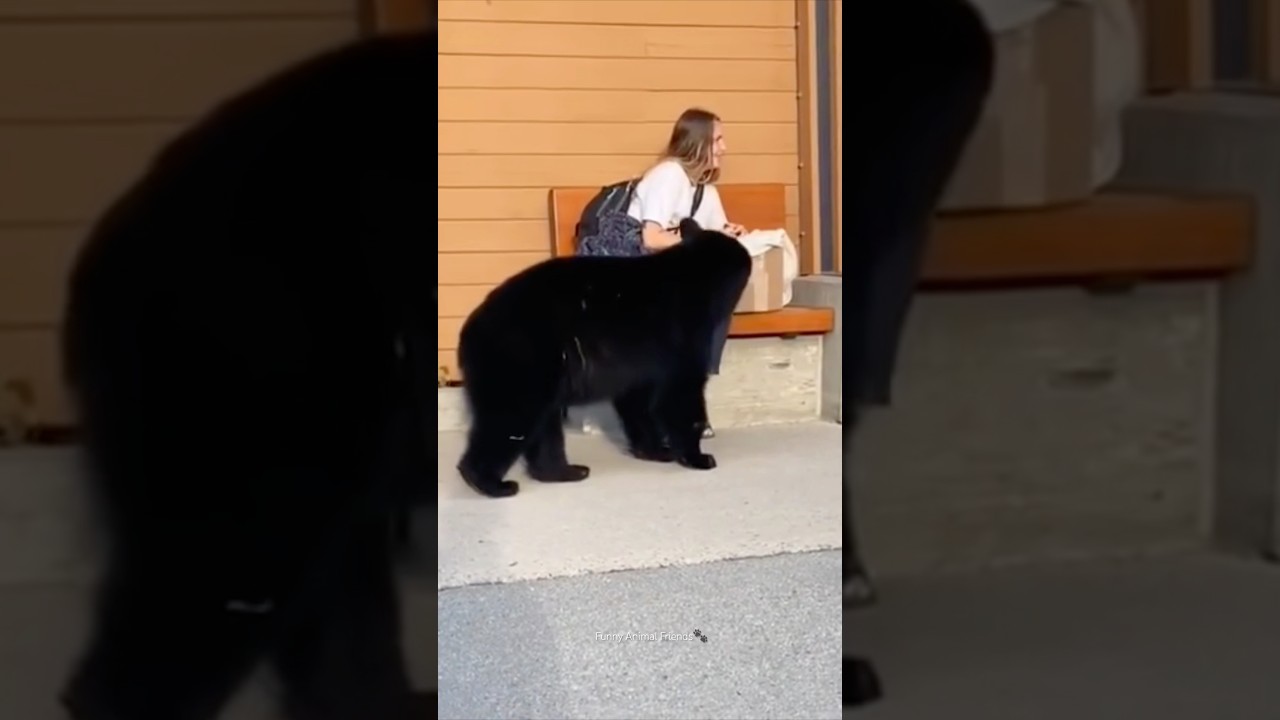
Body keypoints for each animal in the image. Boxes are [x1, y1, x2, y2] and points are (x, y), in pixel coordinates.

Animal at [455, 218, 751, 499]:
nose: (748, 260)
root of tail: (468, 331)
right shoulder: (682, 333)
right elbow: (681, 394)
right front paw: (698, 456)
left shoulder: (640, 360)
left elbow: (637, 400)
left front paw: (655, 450)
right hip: (524, 358)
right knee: (510, 418)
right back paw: (489, 482)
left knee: (544, 424)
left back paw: (565, 471)